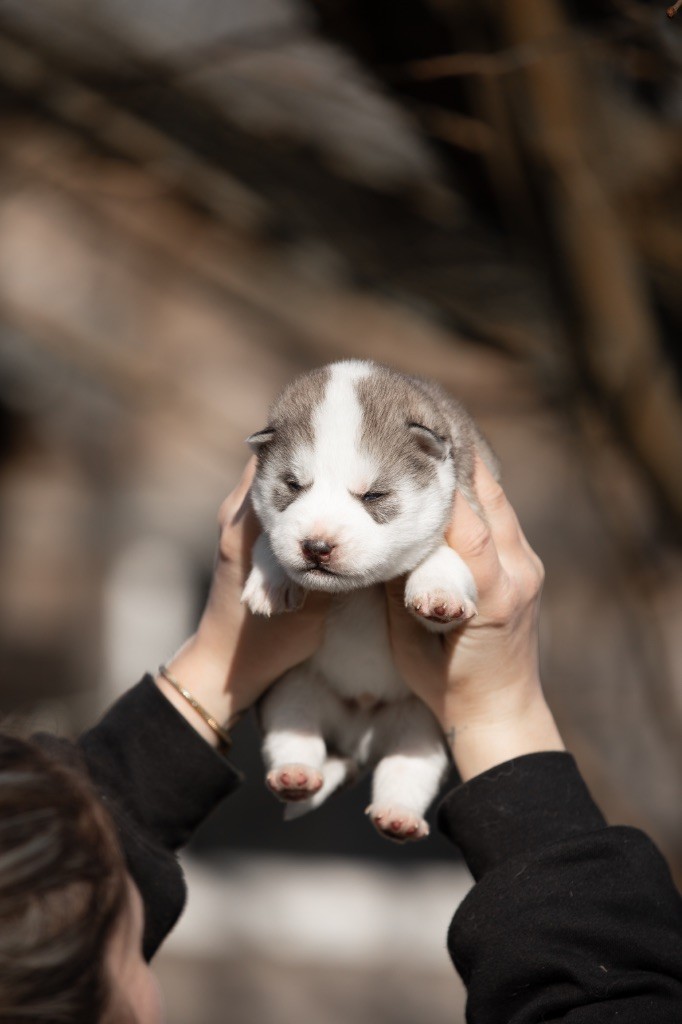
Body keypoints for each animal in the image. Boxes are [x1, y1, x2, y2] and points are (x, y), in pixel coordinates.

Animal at [241, 358, 497, 839]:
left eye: (374, 494)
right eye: (293, 485)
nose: (316, 547)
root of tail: (356, 737)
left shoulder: (470, 504)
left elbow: (441, 554)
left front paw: (438, 590)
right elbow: (267, 538)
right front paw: (270, 578)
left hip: (422, 724)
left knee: (408, 770)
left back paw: (398, 816)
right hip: (293, 689)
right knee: (293, 734)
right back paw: (295, 775)